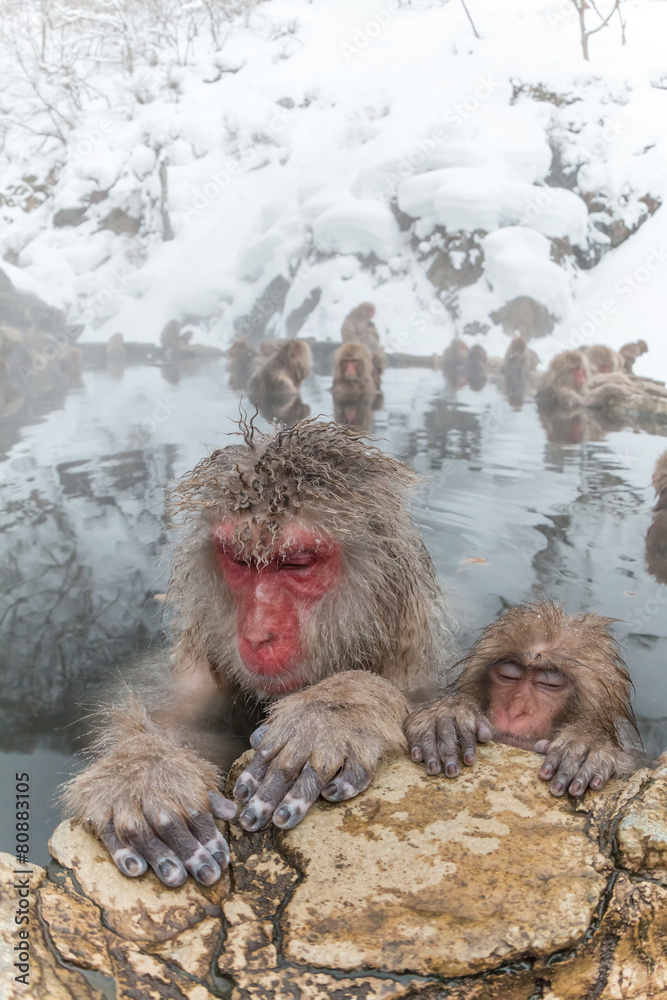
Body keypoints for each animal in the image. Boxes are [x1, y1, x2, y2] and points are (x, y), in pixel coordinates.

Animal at [61, 419, 456, 887]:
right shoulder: (199, 668)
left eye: (296, 563)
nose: (258, 632)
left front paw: (332, 712)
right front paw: (143, 773)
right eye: (241, 561)